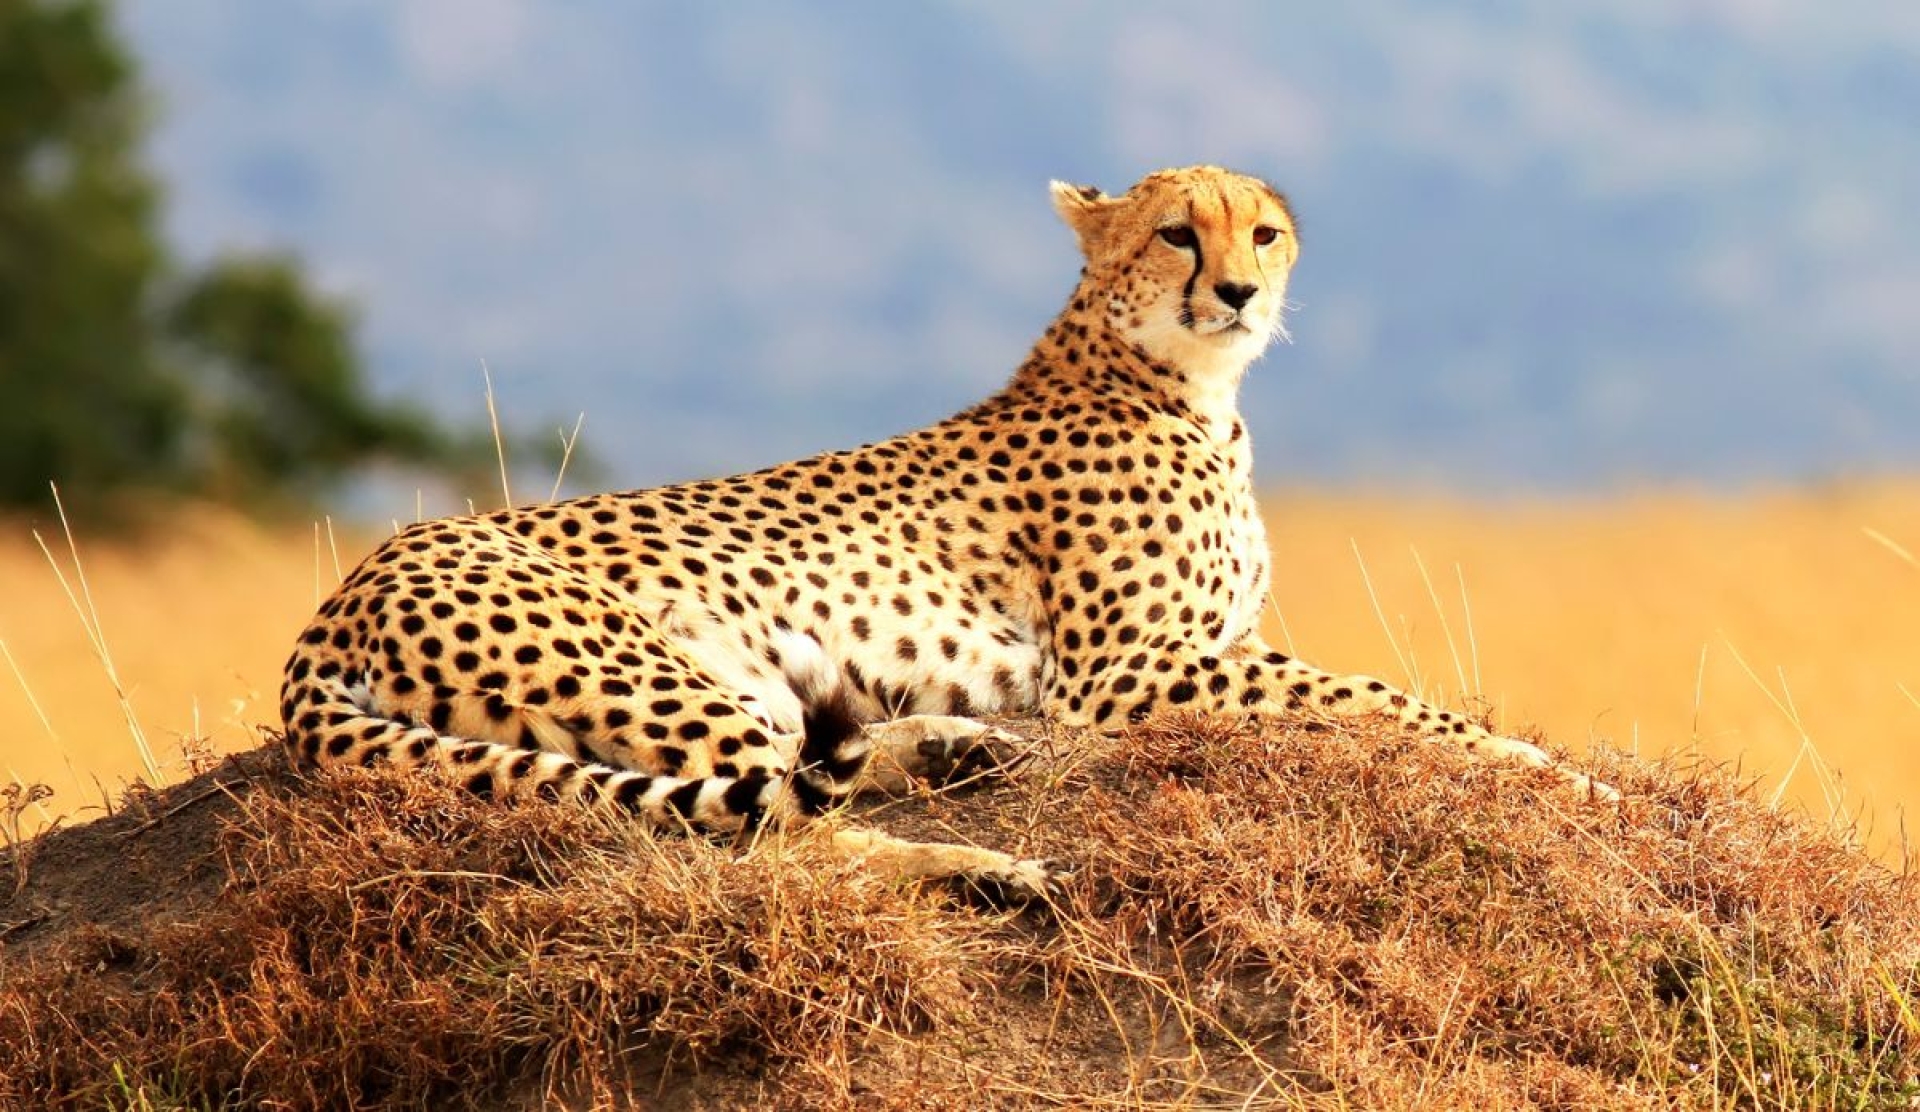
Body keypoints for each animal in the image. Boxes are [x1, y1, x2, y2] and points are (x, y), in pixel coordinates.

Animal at [280, 165, 1612, 904]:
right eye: (1179, 233)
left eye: (1263, 233)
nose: (1239, 291)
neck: (1182, 383)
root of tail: (340, 593)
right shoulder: (1126, 676)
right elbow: (1382, 696)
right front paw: (1557, 769)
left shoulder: (1184, 656)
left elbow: (1370, 693)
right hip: (645, 668)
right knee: (773, 834)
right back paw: (985, 865)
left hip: (734, 678)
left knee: (800, 773)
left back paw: (958, 753)